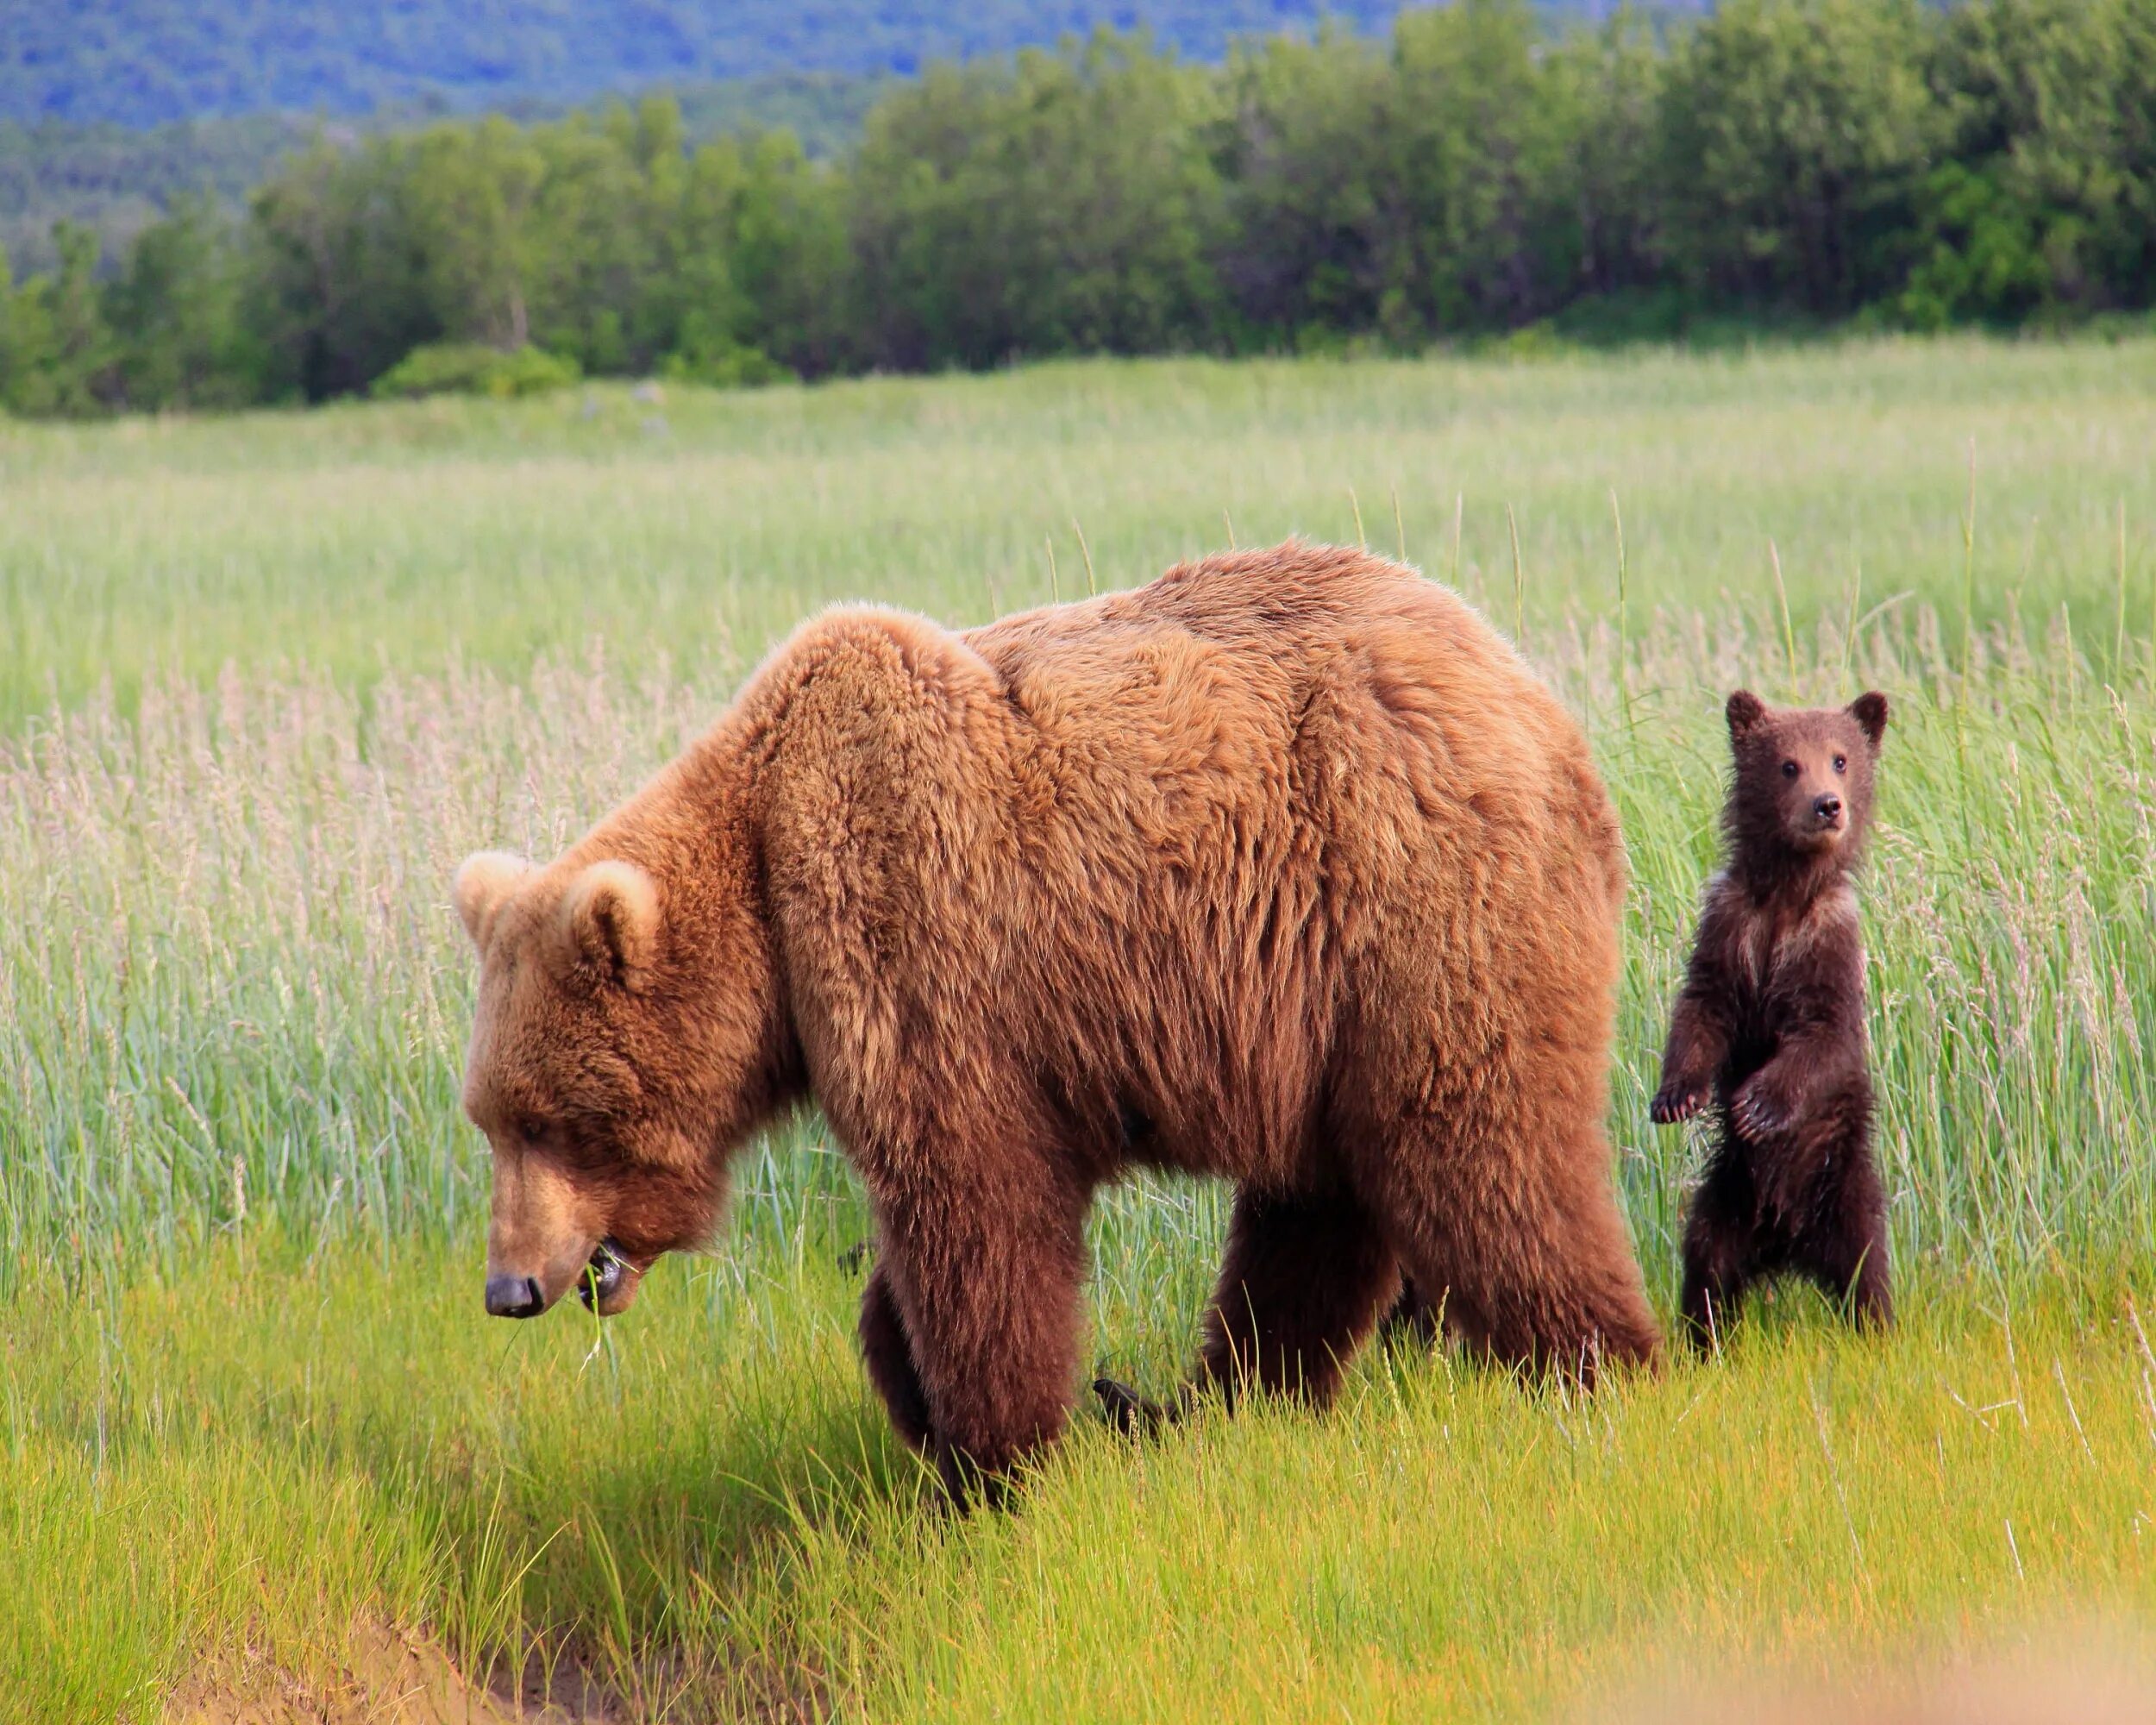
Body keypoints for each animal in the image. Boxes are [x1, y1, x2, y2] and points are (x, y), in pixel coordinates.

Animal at [454, 539, 1664, 1492]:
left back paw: (1598, 1366)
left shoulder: (915, 924)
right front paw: (921, 1389)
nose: (509, 1286)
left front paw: (997, 1450)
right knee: (1318, 1198)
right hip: (1316, 1003)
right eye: (490, 1119)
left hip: (1411, 895)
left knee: (1476, 1143)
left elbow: (976, 1203)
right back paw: (1230, 1397)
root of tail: (1541, 703)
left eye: (555, 1118)